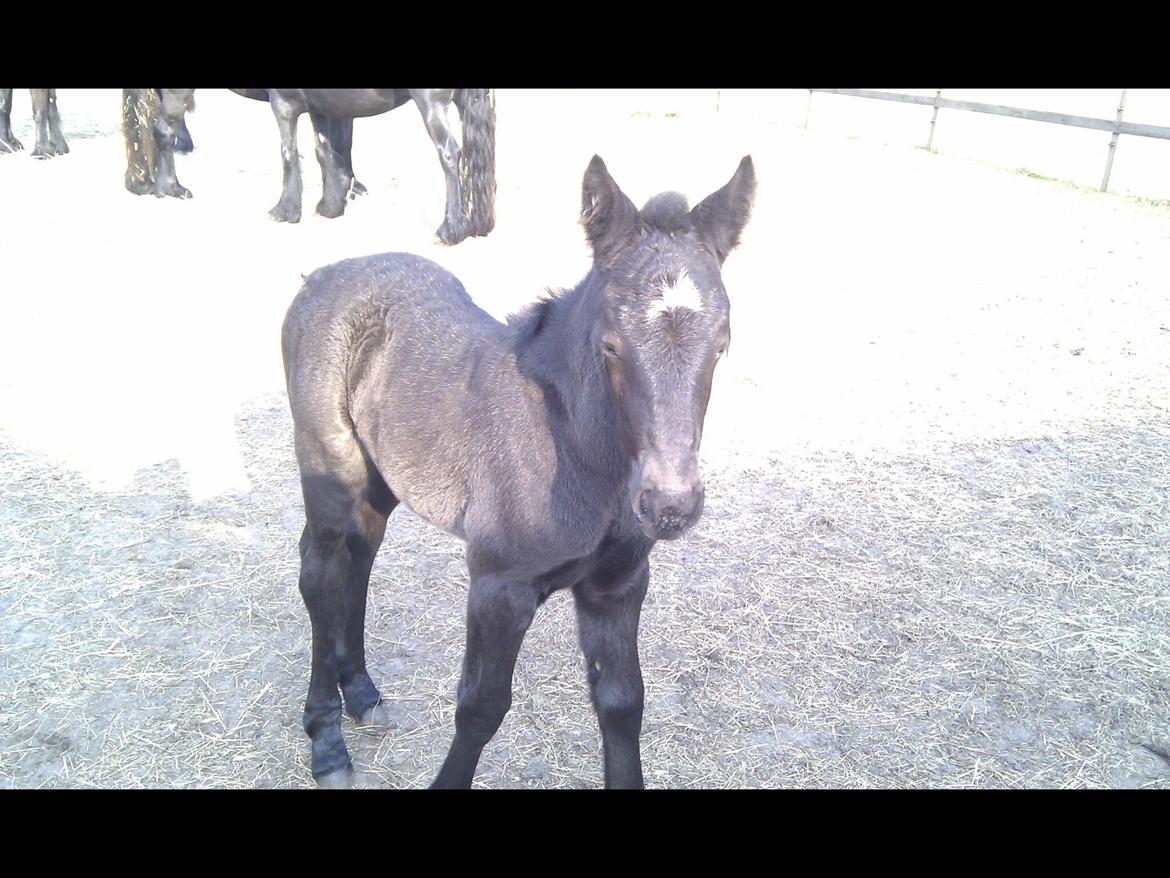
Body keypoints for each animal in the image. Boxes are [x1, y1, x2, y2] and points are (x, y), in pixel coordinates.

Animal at [235, 89, 496, 245]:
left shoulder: (284, 103)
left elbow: (289, 153)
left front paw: (285, 209)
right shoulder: (321, 105)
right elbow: (325, 152)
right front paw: (331, 205)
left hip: (432, 105)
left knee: (449, 154)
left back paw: (450, 230)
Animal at [282, 153, 756, 788]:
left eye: (722, 344)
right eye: (611, 345)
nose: (670, 505)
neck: (573, 450)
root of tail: (325, 274)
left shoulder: (618, 583)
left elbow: (623, 702)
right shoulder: (498, 586)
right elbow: (482, 707)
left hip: (379, 481)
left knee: (358, 562)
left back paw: (362, 694)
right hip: (328, 465)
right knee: (321, 571)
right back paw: (327, 739)